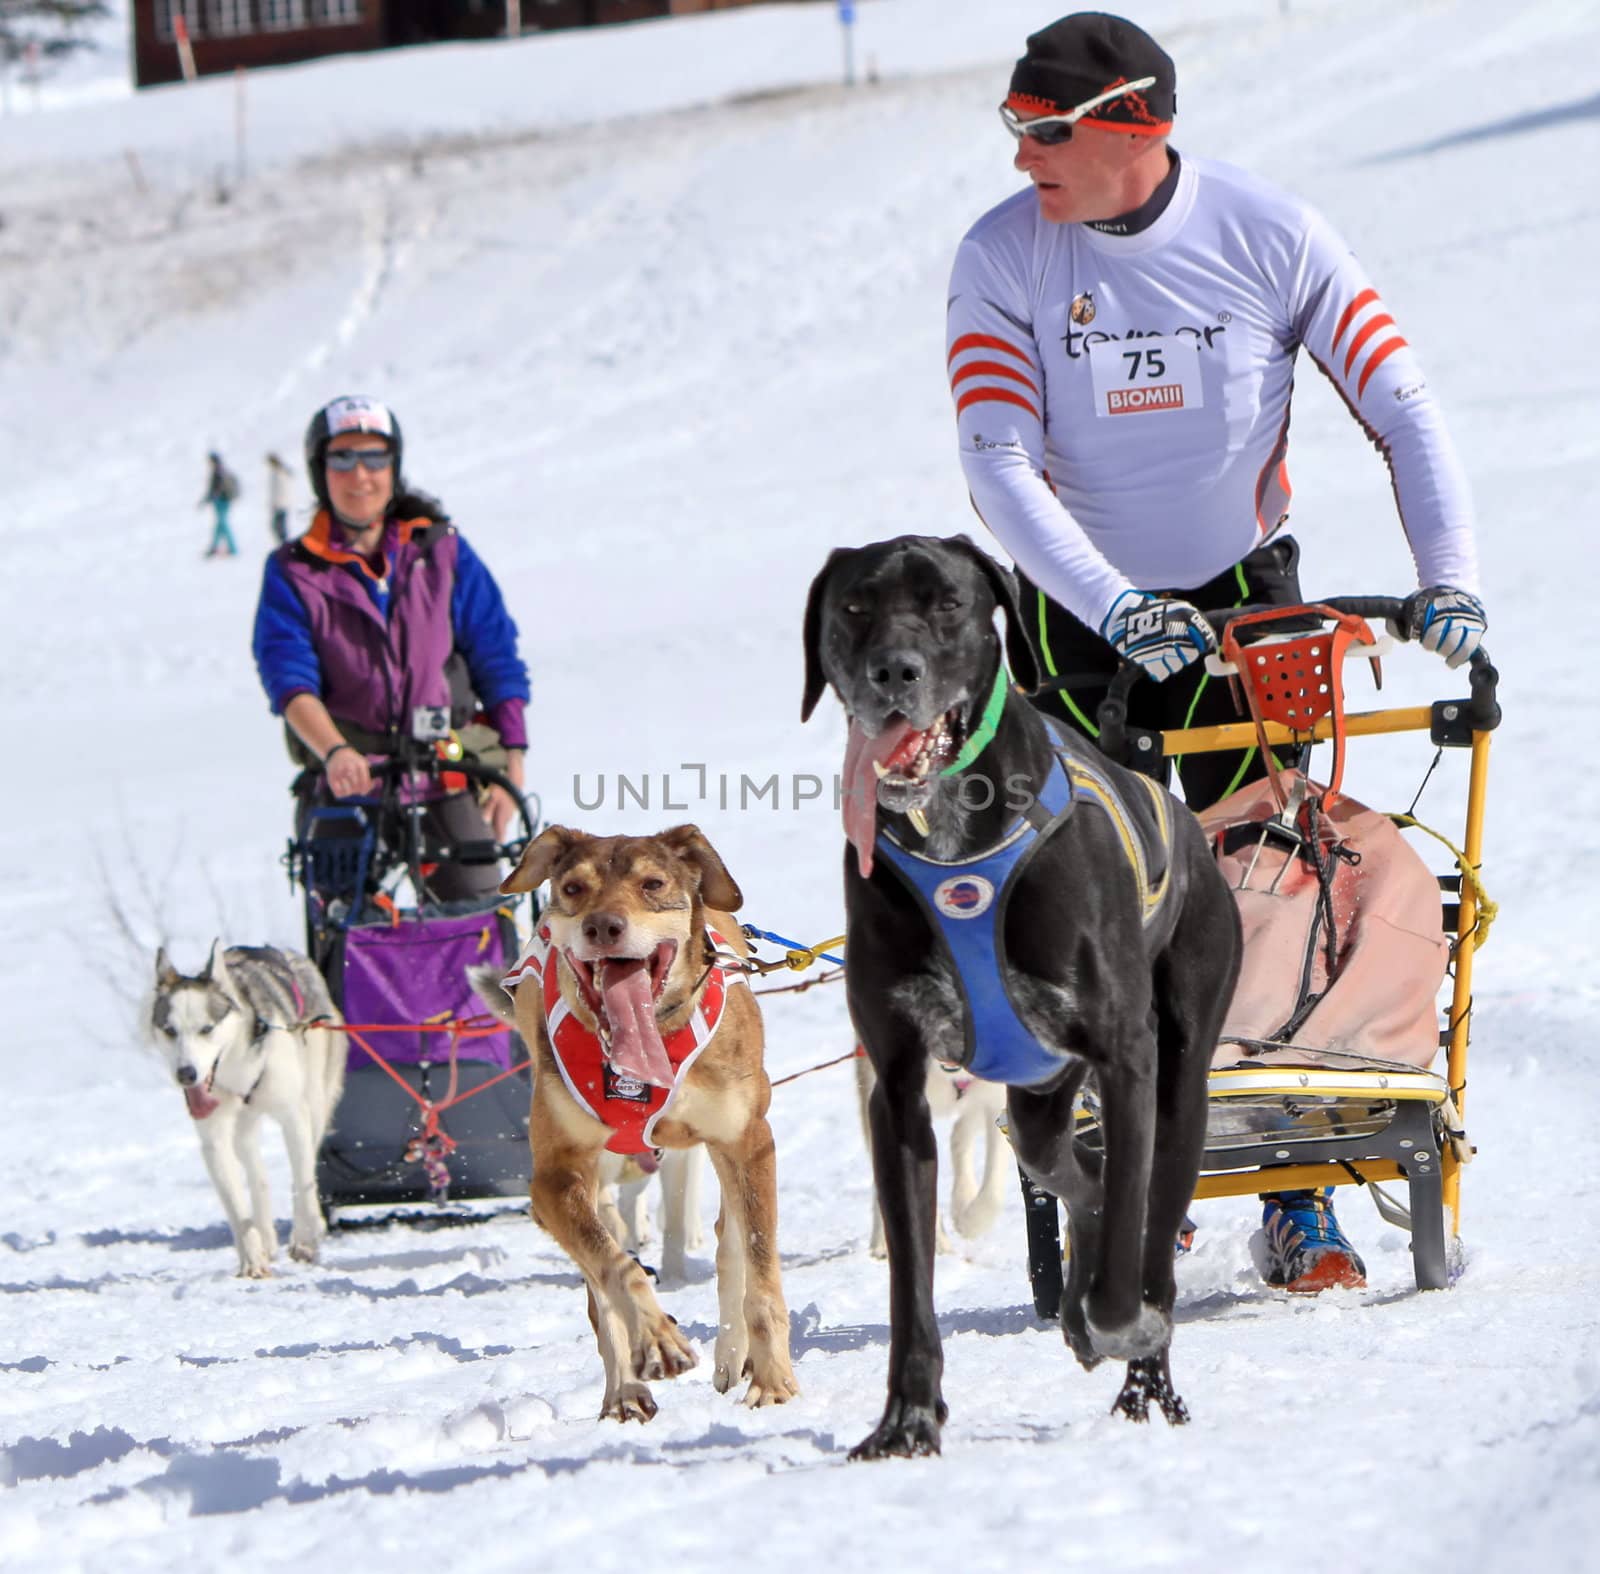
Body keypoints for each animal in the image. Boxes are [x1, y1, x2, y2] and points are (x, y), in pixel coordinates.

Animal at [149, 946, 347, 1279]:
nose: (186, 1074)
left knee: (304, 1168)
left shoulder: (294, 1115)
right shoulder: (214, 1141)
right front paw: (252, 1258)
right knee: (258, 1177)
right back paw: (266, 1237)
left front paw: (306, 1238)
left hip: (316, 1101)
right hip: (243, 1130)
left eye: (207, 1029)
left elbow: (303, 1180)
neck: (234, 1071)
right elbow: (236, 1205)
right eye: (169, 1031)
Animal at [476, 831, 796, 1420]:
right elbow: (616, 1271)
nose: (604, 926)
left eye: (653, 883)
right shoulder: (553, 1181)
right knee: (603, 1287)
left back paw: (732, 1353)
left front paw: (773, 1380)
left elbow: (759, 1271)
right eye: (573, 888)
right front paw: (656, 1339)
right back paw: (625, 1387)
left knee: (730, 1243)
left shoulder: (748, 1142)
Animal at [806, 534, 1241, 1458]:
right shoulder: (898, 1085)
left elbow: (1127, 1268)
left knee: (1150, 1235)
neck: (953, 838)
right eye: (854, 607)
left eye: (947, 604)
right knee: (1080, 1175)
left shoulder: (1125, 1059)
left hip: (1180, 1082)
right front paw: (906, 1421)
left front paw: (1122, 1327)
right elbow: (913, 1287)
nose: (891, 671)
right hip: (1038, 1100)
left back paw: (1145, 1378)